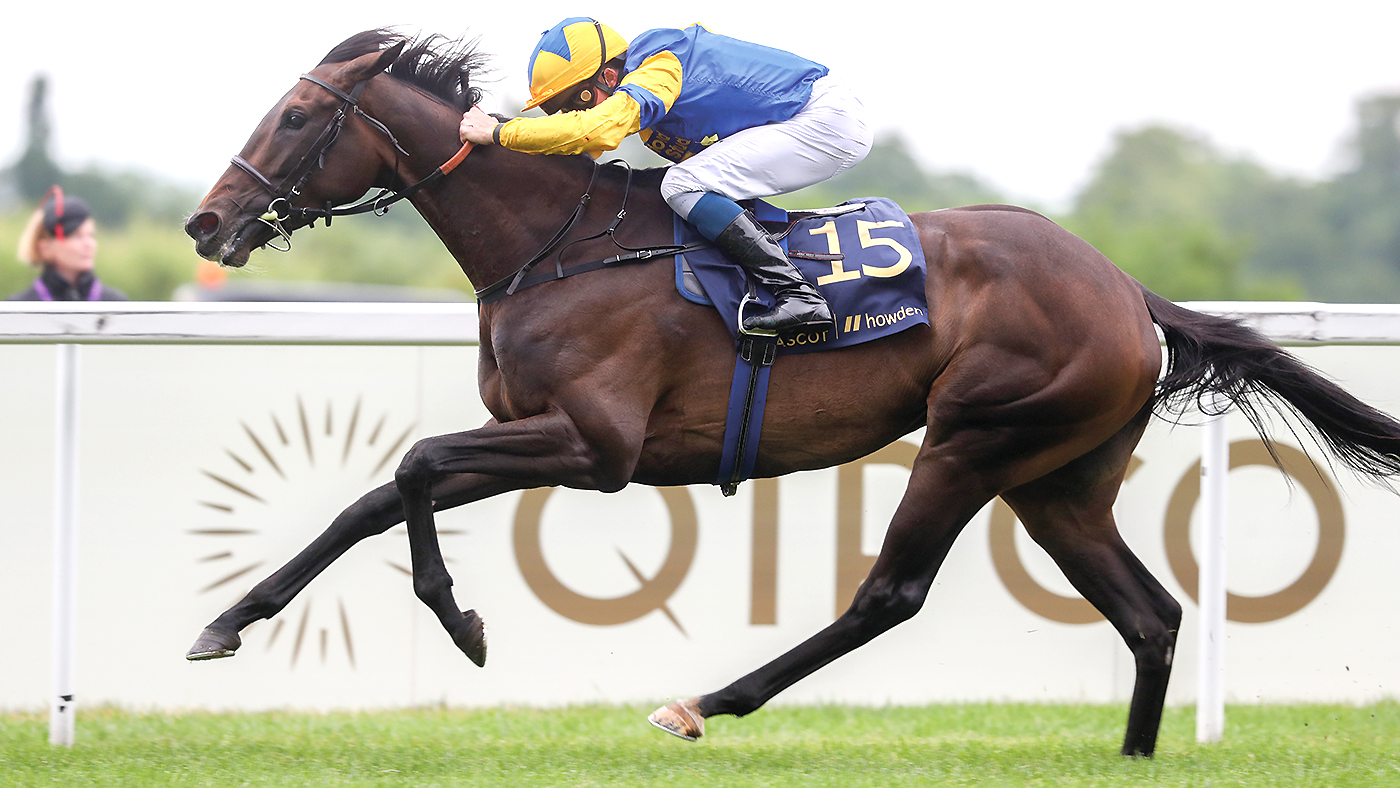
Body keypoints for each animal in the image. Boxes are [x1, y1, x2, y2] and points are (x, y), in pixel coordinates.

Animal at [186, 32, 1400, 755]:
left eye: (296, 119)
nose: (206, 223)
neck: (560, 246)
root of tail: (1122, 286)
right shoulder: (528, 431)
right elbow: (373, 496)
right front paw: (226, 622)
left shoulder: (594, 445)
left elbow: (414, 465)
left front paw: (462, 620)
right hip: (1054, 477)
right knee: (1149, 613)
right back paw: (1135, 757)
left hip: (972, 439)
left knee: (889, 594)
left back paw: (704, 701)